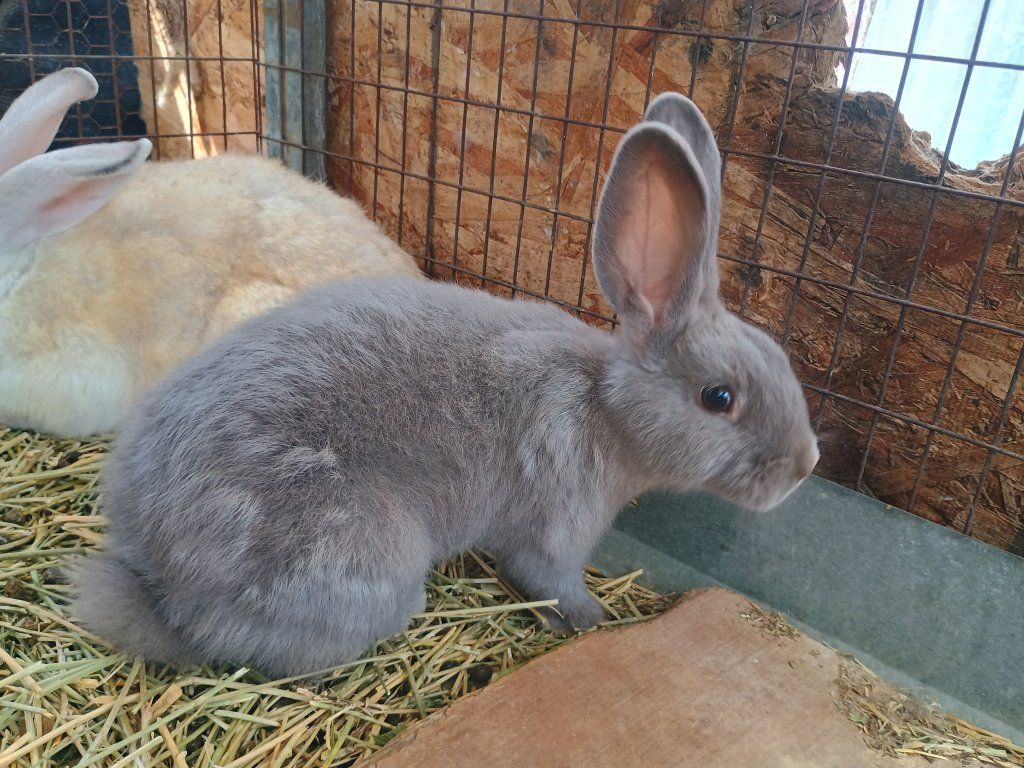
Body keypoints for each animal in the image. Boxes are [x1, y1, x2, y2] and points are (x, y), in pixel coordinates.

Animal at [71, 93, 819, 678]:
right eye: (718, 397)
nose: (805, 466)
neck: (607, 407)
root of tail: (155, 566)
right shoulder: (555, 527)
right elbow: (550, 580)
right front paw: (594, 618)